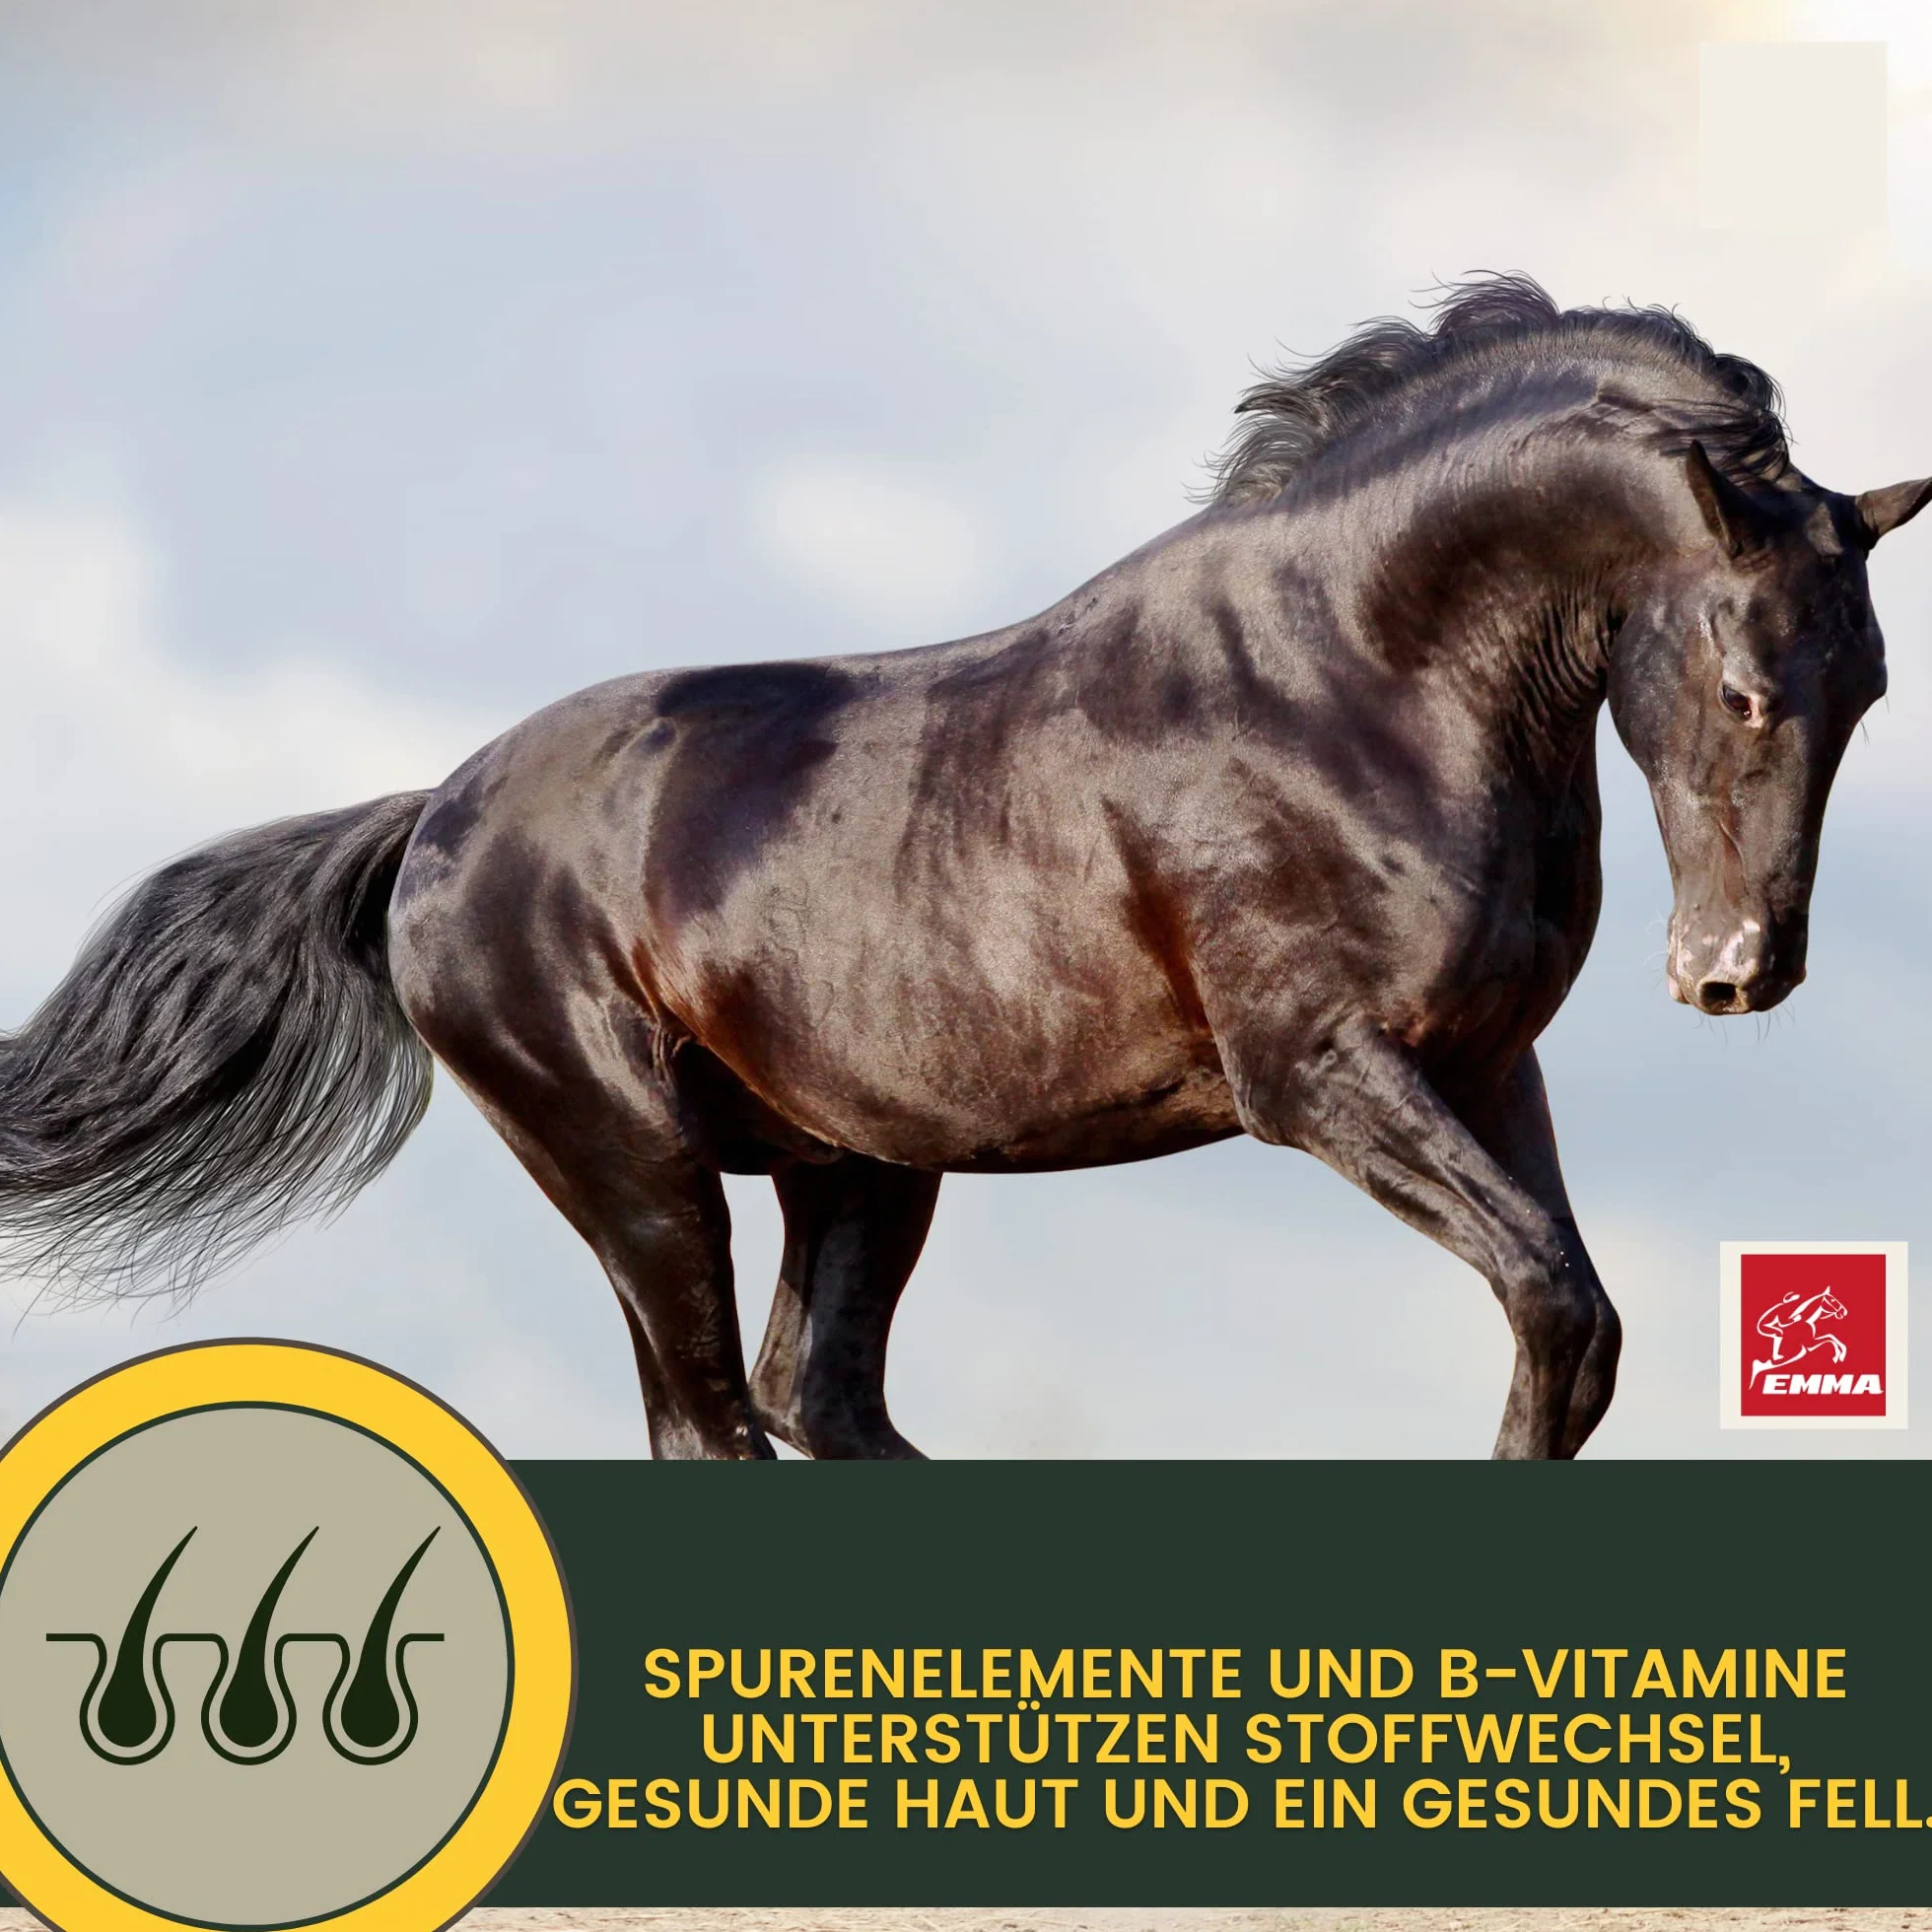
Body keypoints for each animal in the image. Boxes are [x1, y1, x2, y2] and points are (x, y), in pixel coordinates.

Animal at [0, 275, 1924, 1461]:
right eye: (1747, 689)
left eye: (1872, 689)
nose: (1736, 971)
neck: (1355, 680)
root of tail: (434, 819)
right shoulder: (1317, 1076)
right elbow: (1547, 1297)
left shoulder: (1485, 1066)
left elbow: (1567, 1330)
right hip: (633, 1163)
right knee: (711, 1416)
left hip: (856, 1165)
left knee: (812, 1395)